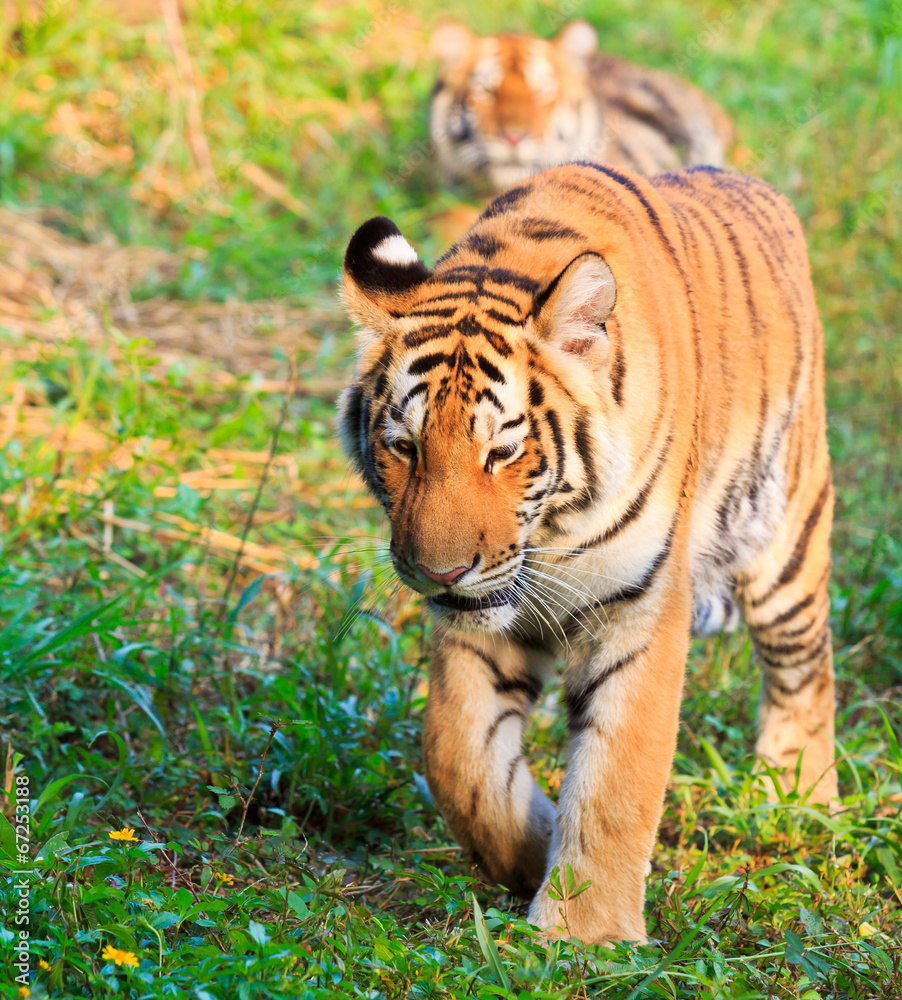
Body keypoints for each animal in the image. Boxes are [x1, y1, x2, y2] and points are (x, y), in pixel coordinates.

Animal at [339, 162, 836, 946]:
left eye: (502, 452)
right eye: (405, 447)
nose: (439, 572)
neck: (553, 534)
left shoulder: (640, 610)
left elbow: (617, 780)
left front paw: (584, 933)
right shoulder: (478, 623)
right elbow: (456, 753)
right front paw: (533, 849)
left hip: (787, 534)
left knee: (805, 666)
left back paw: (799, 796)